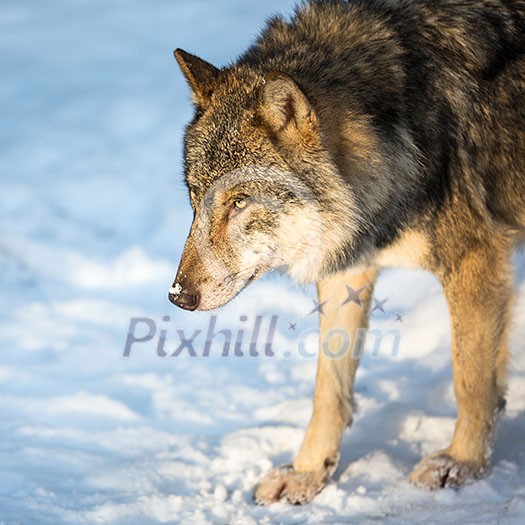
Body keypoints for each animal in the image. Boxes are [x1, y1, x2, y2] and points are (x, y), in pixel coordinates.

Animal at [167, 0, 524, 504]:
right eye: (196, 198)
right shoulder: (346, 270)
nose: (178, 296)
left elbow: (470, 380)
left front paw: (460, 464)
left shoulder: (473, 258)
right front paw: (308, 471)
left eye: (239, 202)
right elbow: (328, 389)